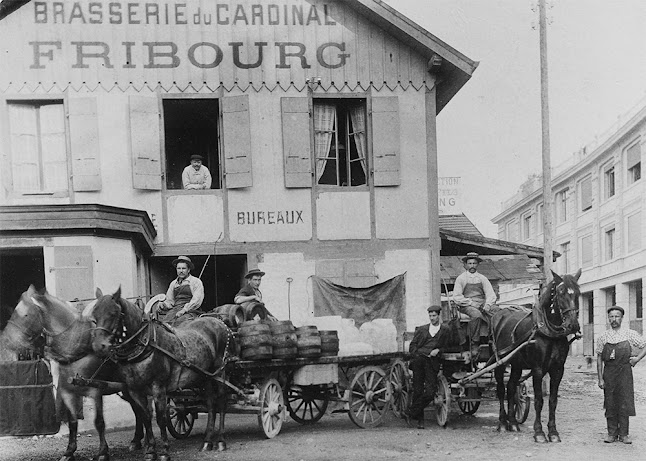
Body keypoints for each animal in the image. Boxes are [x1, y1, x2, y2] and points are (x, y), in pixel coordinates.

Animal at [1, 286, 144, 460]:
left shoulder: (95, 391)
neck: (78, 350)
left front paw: (103, 452)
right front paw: (69, 451)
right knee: (138, 409)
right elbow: (73, 422)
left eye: (25, 315)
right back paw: (137, 440)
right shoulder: (67, 392)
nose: (6, 340)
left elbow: (99, 422)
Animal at [90, 286, 233, 458]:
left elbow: (161, 417)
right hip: (206, 376)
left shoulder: (158, 387)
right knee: (211, 403)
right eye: (94, 315)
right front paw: (151, 450)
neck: (145, 344)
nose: (98, 346)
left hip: (219, 372)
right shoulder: (135, 390)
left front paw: (164, 450)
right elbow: (145, 417)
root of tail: (219, 322)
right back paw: (207, 441)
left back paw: (220, 440)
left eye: (113, 313)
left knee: (221, 401)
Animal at [494, 270, 584, 442]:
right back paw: (502, 423)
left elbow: (553, 401)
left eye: (578, 292)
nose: (573, 325)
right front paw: (539, 432)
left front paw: (553, 432)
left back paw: (513, 423)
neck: (549, 333)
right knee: (501, 390)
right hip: (500, 363)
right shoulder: (537, 369)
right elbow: (538, 400)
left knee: (511, 388)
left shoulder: (558, 370)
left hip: (516, 365)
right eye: (560, 292)